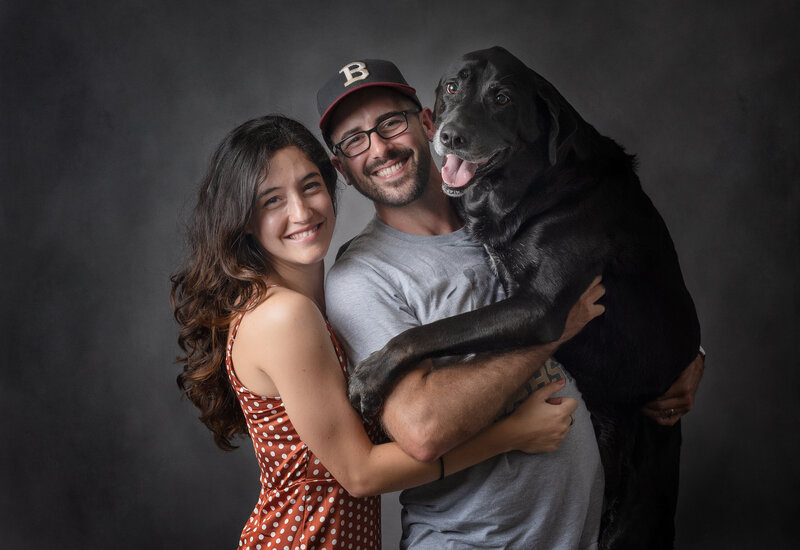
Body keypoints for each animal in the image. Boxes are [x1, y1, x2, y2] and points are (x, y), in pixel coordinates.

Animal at [348, 48, 700, 550]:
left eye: (502, 98)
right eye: (453, 86)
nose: (449, 135)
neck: (535, 186)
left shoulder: (540, 308)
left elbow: (434, 331)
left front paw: (373, 374)